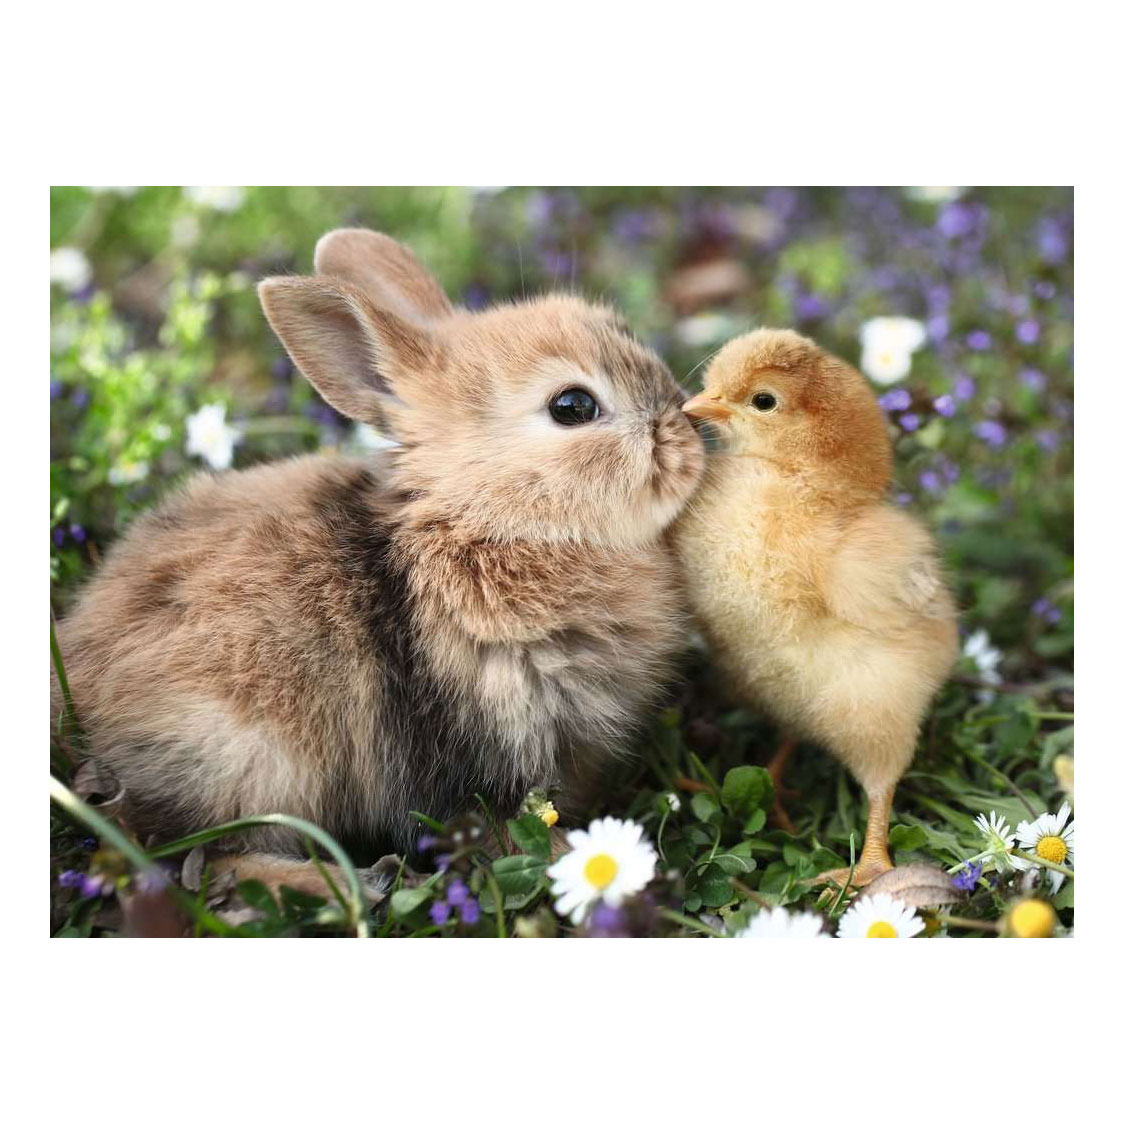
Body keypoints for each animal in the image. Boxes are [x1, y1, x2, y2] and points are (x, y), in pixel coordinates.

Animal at [52, 228, 706, 896]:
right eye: (572, 406)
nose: (686, 429)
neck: (482, 519)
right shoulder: (466, 750)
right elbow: (494, 825)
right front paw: (579, 859)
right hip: (246, 755)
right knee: (205, 859)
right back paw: (355, 883)